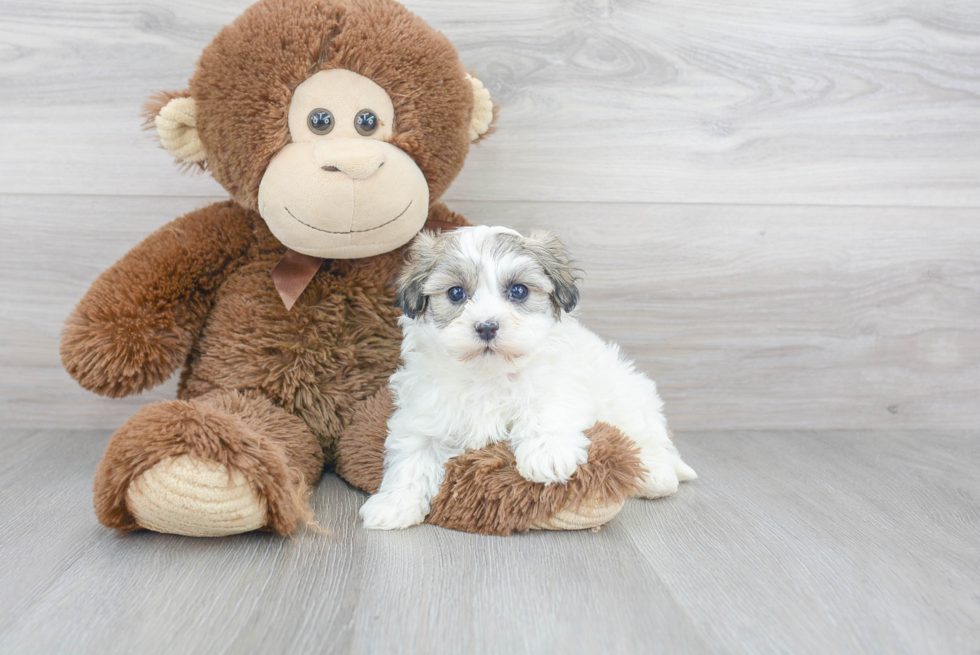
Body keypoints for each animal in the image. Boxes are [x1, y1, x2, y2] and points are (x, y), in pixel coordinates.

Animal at [360, 228, 696, 532]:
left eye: (518, 291)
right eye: (456, 293)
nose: (486, 326)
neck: (488, 374)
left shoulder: (563, 382)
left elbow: (545, 407)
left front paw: (547, 456)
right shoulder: (423, 412)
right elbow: (413, 457)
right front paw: (394, 505)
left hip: (626, 395)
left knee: (648, 438)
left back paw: (657, 476)